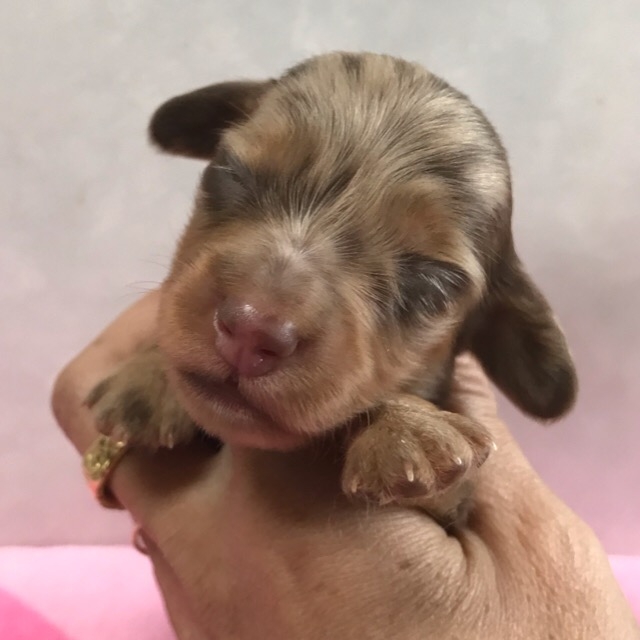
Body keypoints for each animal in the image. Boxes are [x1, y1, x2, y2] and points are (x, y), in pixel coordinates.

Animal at [87, 52, 577, 526]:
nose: (250, 332)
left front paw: (409, 431)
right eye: (229, 171)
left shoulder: (454, 504)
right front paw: (148, 377)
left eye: (433, 280)